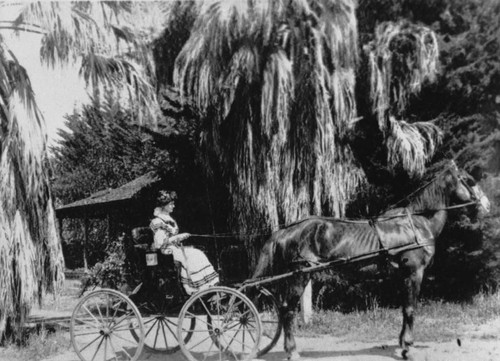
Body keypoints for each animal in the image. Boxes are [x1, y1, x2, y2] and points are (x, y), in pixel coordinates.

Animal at [252, 162, 490, 358]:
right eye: (469, 181)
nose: (487, 204)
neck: (416, 224)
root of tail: (285, 230)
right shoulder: (414, 272)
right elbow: (410, 309)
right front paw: (407, 348)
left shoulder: (402, 275)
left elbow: (404, 309)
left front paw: (402, 343)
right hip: (299, 276)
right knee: (288, 311)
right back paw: (292, 352)